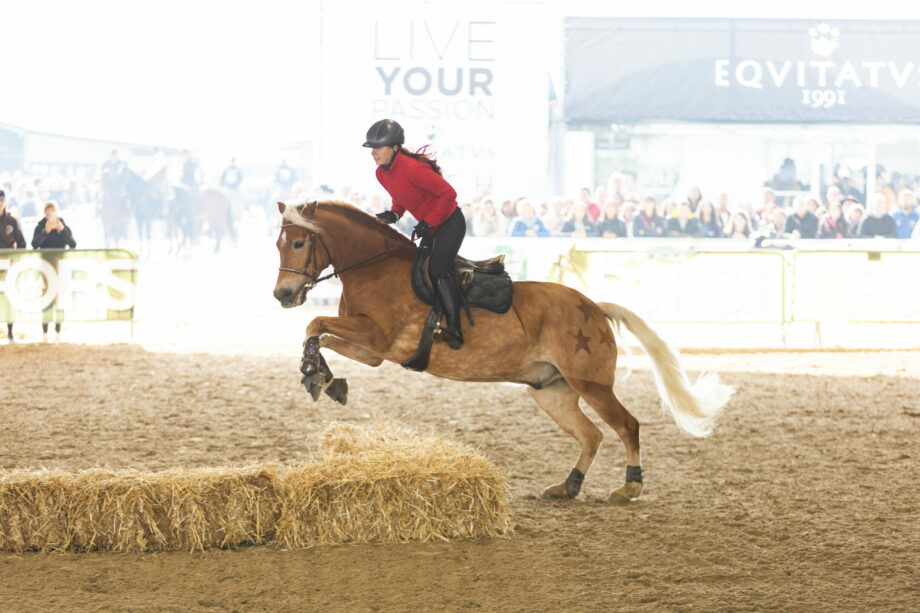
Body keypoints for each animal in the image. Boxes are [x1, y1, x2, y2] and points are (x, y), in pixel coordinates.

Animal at [272, 200, 734, 502]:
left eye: (297, 244)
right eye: (279, 244)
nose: (283, 295)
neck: (373, 267)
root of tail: (594, 307)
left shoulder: (376, 337)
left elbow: (315, 324)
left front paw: (316, 373)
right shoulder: (372, 351)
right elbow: (319, 333)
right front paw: (321, 376)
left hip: (592, 385)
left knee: (627, 425)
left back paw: (630, 485)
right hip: (552, 392)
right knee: (592, 435)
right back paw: (567, 486)